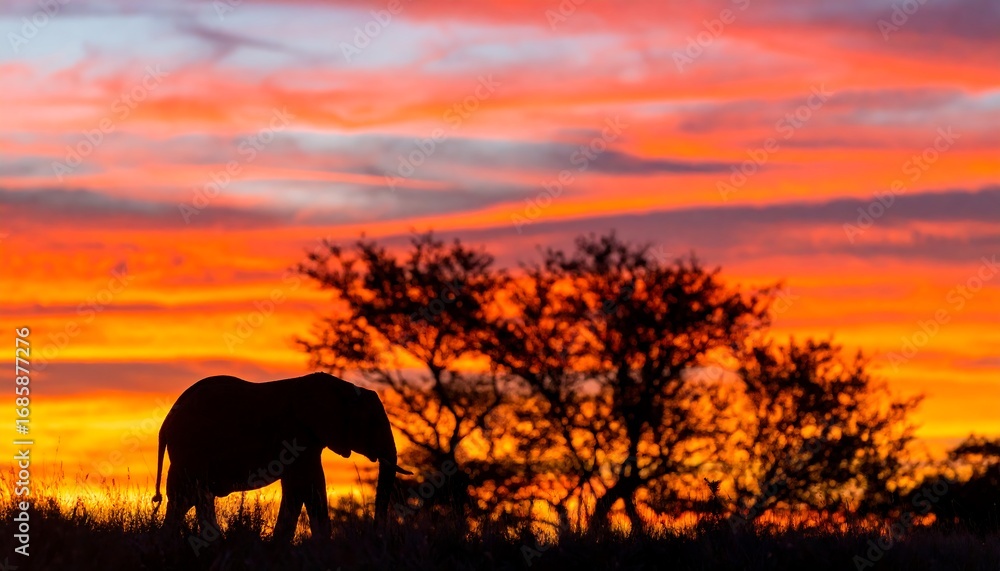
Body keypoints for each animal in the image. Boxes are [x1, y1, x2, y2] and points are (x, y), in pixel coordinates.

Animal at [151, 372, 410, 542]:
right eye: (372, 423)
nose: (377, 533)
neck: (342, 388)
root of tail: (165, 423)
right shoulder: (297, 436)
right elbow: (305, 486)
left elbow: (305, 487)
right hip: (190, 449)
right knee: (192, 496)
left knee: (187, 499)